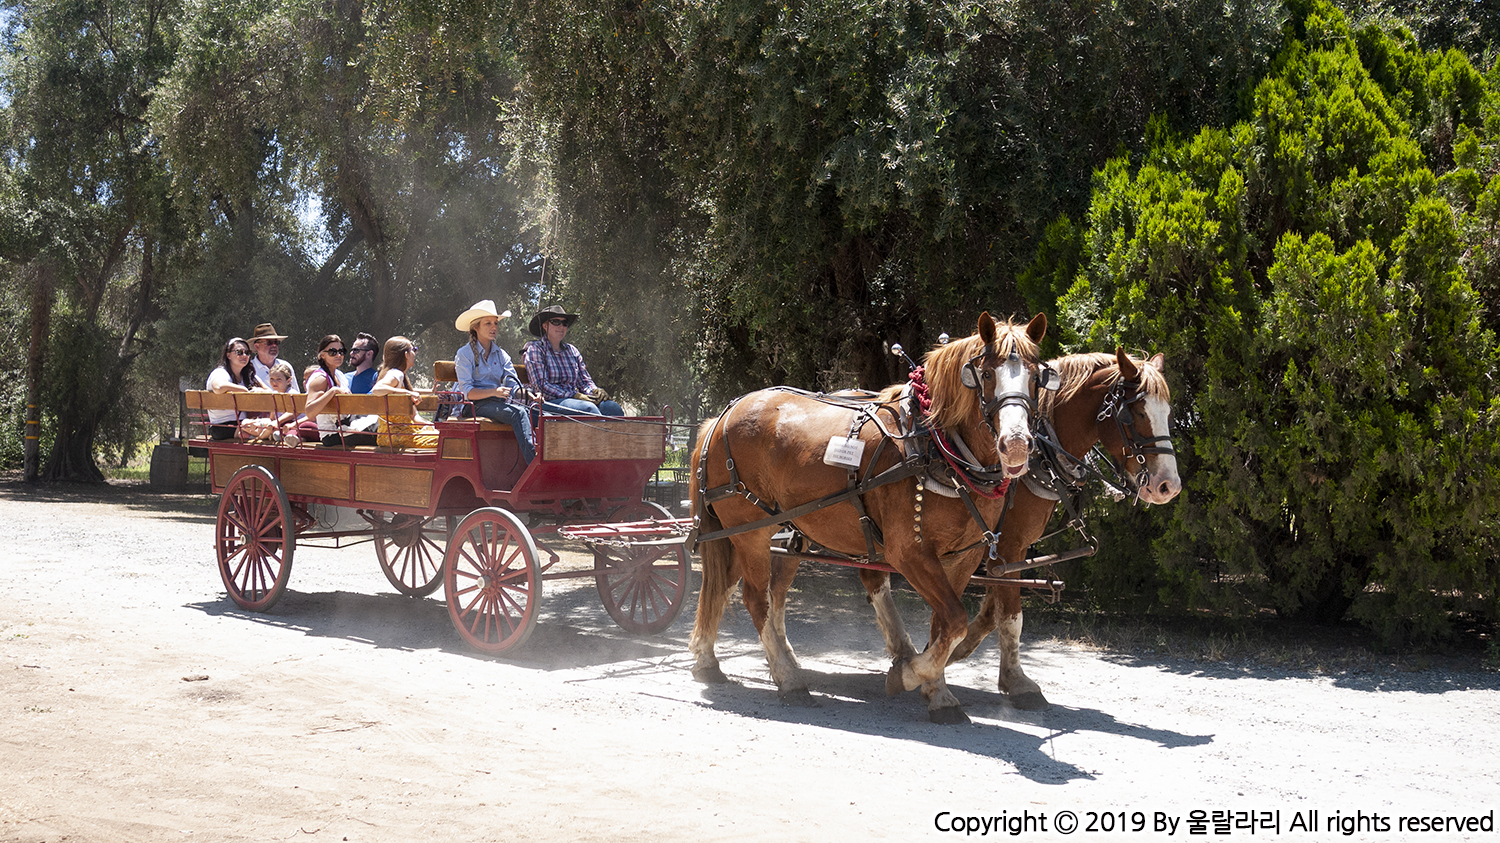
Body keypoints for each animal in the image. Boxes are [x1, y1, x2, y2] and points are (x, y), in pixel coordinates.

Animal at [687, 312, 1044, 720]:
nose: (1016, 444)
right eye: (985, 373)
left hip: (759, 528)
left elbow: (944, 626)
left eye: (1037, 376)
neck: (933, 447)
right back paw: (788, 678)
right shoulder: (908, 553)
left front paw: (937, 692)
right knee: (755, 597)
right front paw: (909, 673)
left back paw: (710, 660)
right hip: (750, 531)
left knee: (727, 586)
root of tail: (720, 417)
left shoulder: (962, 557)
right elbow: (954, 621)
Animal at [948, 345, 1182, 705]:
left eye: (1167, 413)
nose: (1168, 486)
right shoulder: (1006, 546)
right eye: (1135, 414)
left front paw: (957, 651)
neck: (1039, 460)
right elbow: (1010, 616)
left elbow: (991, 613)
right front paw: (1017, 682)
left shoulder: (1001, 554)